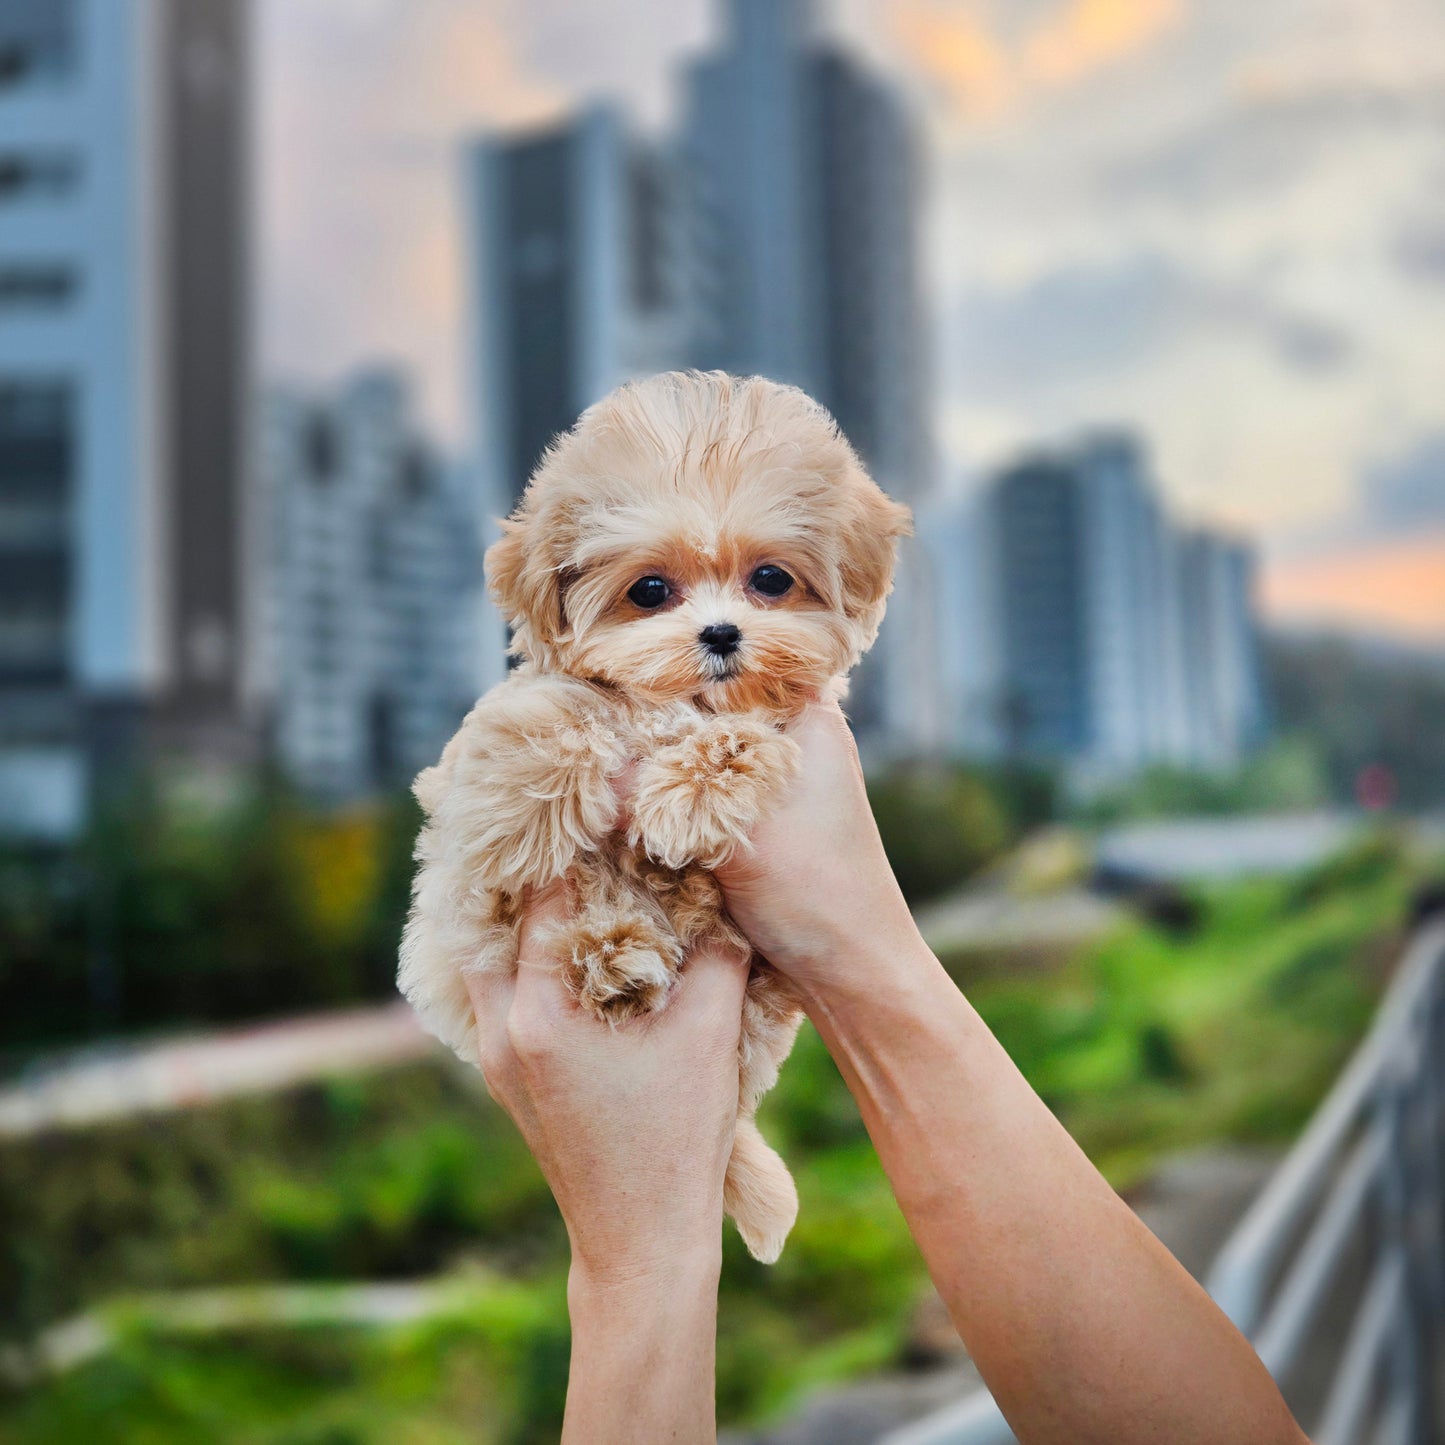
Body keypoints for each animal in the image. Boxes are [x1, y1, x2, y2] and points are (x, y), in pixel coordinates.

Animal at [401, 372, 907, 1265]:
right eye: (648, 591)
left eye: (770, 580)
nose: (721, 632)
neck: (680, 703)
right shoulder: (535, 703)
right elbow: (546, 714)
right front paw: (517, 818)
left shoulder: (792, 731)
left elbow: (743, 739)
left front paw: (684, 799)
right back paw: (616, 948)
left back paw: (631, 945)